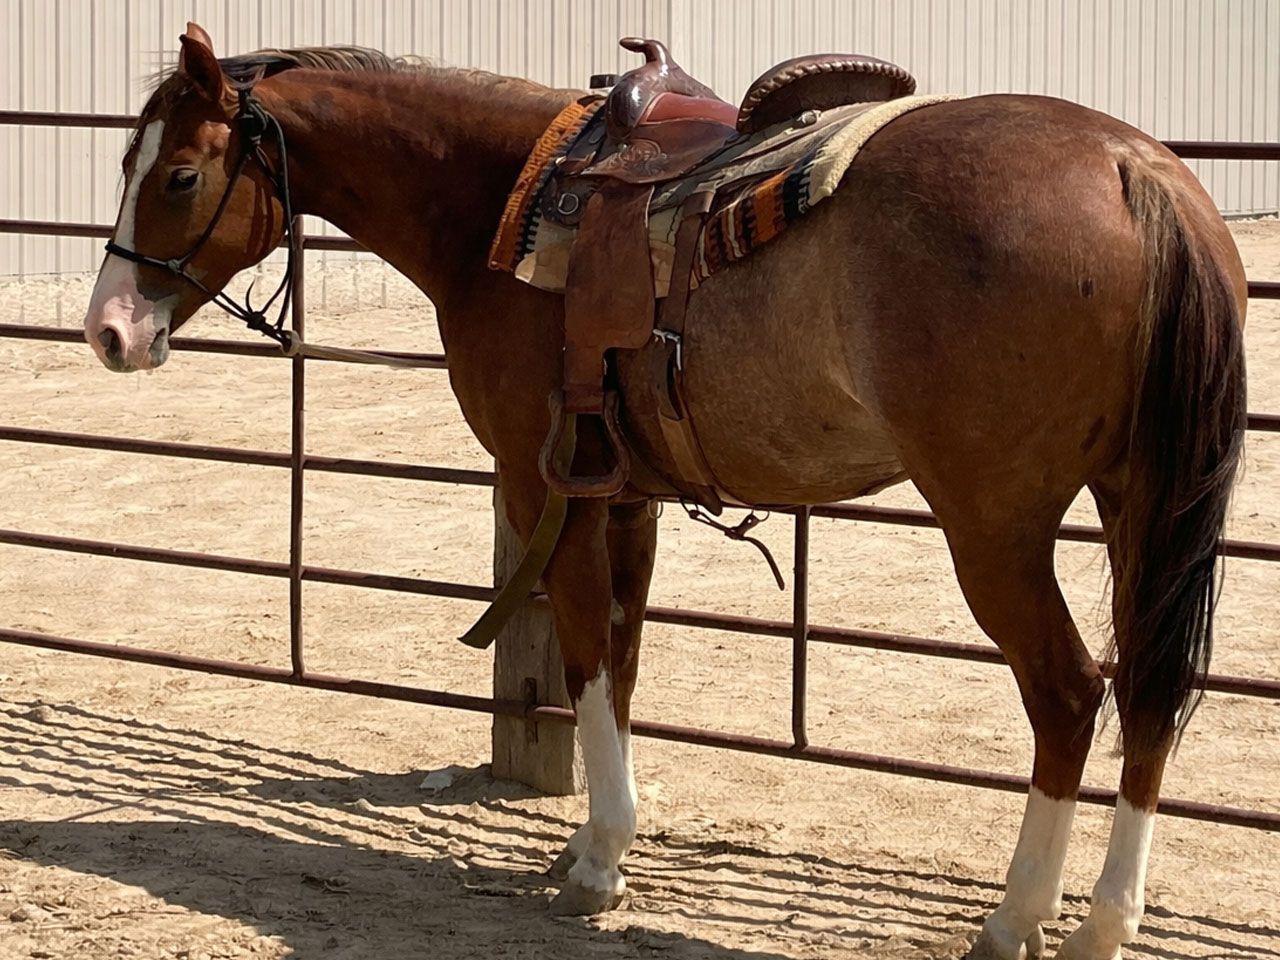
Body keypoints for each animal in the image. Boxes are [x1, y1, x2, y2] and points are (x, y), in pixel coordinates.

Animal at [82, 24, 1246, 960]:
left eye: (178, 176)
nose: (109, 332)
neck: (493, 205)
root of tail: (1131, 170)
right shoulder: (626, 498)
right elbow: (628, 660)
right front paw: (594, 840)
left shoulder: (548, 491)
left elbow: (587, 655)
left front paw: (599, 860)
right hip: (1138, 503)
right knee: (1152, 690)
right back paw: (1104, 920)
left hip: (994, 527)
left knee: (1068, 694)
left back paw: (1017, 921)